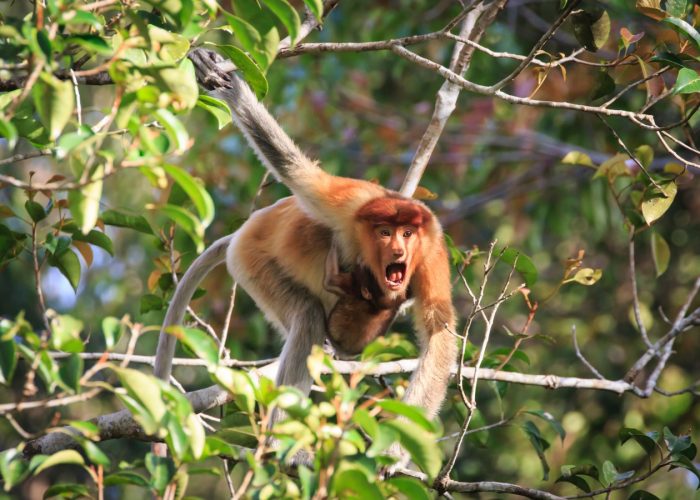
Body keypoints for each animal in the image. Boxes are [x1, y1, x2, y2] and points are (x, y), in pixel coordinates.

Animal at [155, 48, 456, 426]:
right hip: (251, 262)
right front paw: (226, 84)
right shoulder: (351, 203)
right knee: (307, 315)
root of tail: (246, 229)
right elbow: (298, 172)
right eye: (385, 232)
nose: (399, 250)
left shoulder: (430, 251)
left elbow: (438, 333)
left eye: (407, 233)